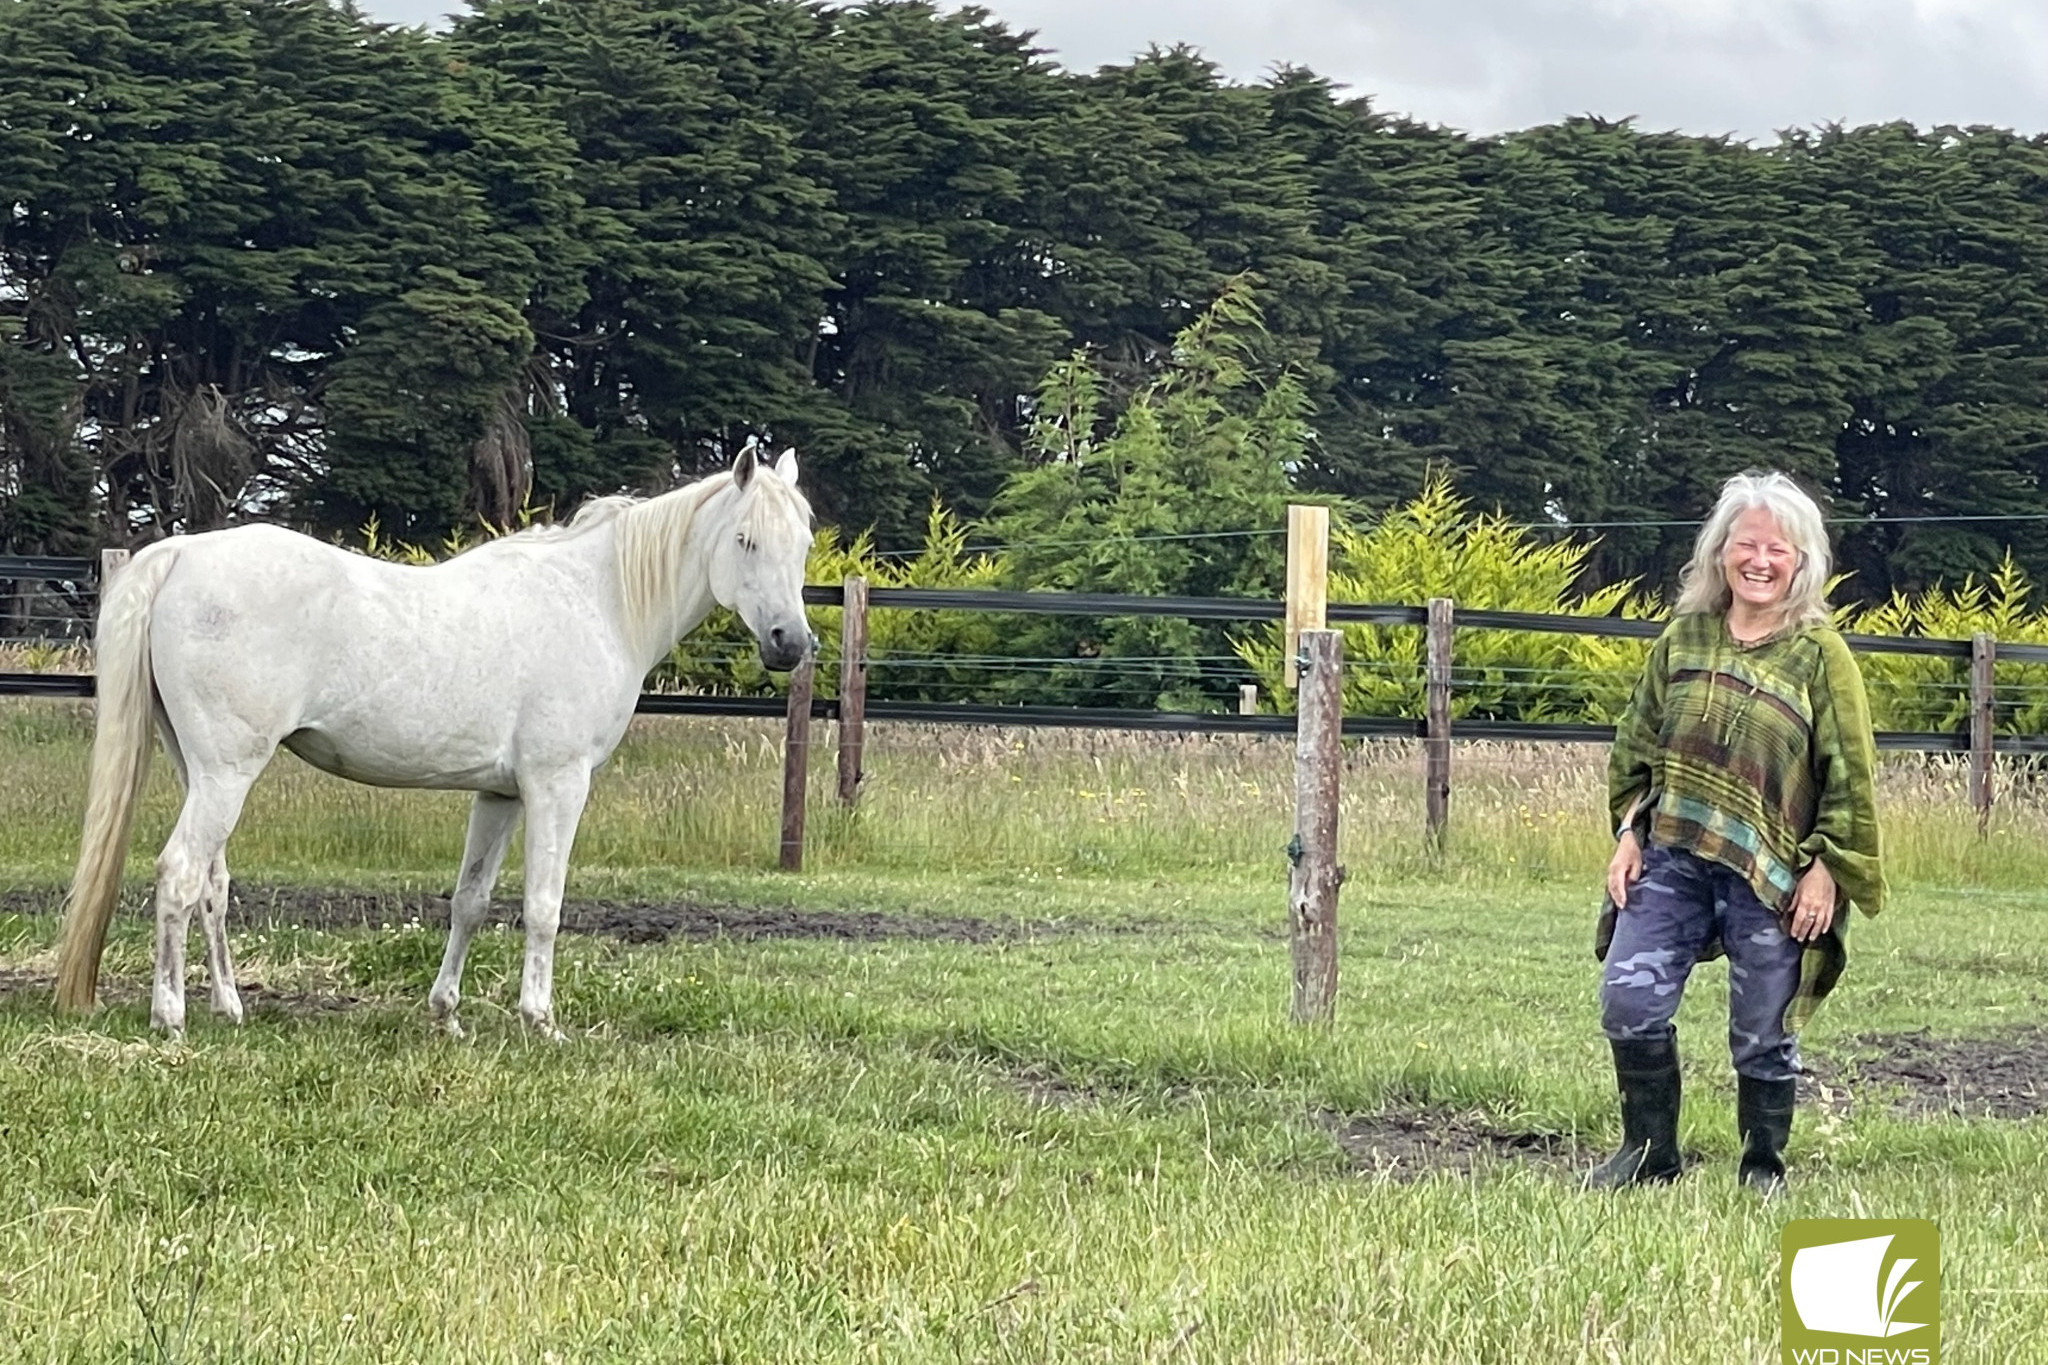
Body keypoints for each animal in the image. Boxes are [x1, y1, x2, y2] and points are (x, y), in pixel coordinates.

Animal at [54, 446, 815, 1035]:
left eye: (803, 543)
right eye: (745, 539)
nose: (791, 642)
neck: (598, 601)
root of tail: (181, 553)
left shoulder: (501, 793)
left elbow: (471, 900)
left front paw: (446, 1013)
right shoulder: (558, 784)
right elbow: (544, 906)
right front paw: (541, 1021)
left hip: (202, 770)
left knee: (211, 884)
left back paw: (228, 1006)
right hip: (227, 774)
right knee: (181, 874)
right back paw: (171, 1016)